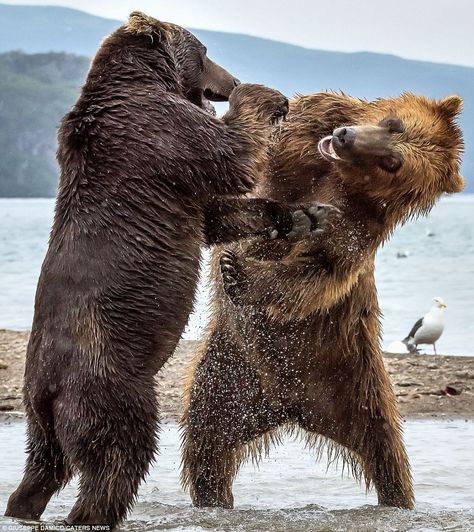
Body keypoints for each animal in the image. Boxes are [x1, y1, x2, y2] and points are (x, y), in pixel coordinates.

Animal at [4, 11, 330, 528]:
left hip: (40, 414)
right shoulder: (163, 133)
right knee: (119, 454)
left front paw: (305, 215)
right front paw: (264, 96)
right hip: (110, 384)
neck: (142, 78)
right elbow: (230, 153)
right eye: (206, 51)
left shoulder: (177, 175)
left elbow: (219, 213)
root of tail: (50, 389)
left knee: (45, 463)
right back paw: (93, 512)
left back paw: (23, 506)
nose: (229, 80)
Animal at [183, 92, 464, 512]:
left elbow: (320, 270)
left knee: (387, 454)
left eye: (392, 164)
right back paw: (213, 496)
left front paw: (240, 271)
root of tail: (291, 406)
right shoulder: (300, 143)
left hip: (356, 383)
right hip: (229, 377)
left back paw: (397, 498)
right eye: (392, 123)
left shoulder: (357, 226)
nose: (346, 137)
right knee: (208, 441)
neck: (340, 176)